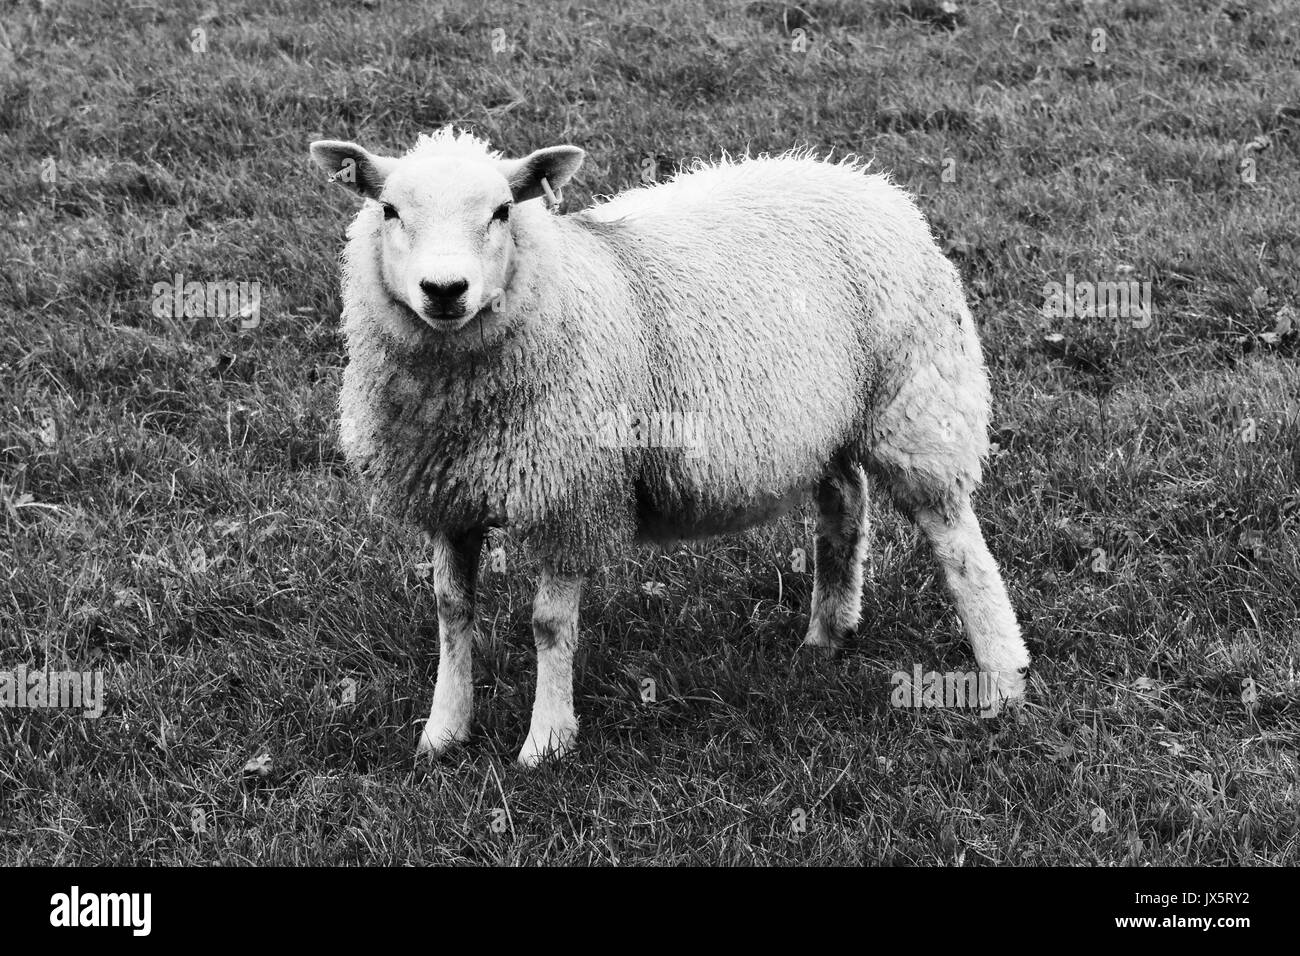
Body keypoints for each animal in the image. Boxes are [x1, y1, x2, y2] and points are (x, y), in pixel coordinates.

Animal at [309, 127, 1029, 770]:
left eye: (503, 211)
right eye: (389, 210)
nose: (445, 290)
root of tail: (868, 181)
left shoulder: (574, 495)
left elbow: (549, 624)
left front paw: (547, 742)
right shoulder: (448, 496)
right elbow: (451, 611)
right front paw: (443, 731)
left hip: (916, 397)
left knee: (955, 540)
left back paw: (1002, 674)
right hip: (822, 420)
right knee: (844, 504)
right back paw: (826, 635)